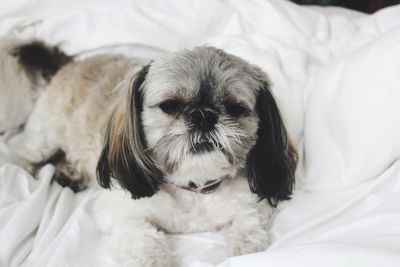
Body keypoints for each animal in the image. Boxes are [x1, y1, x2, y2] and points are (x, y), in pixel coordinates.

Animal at [2, 39, 296, 266]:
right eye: (170, 105)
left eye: (236, 108)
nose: (203, 115)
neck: (192, 187)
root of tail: (72, 64)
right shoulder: (119, 213)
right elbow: (144, 240)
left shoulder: (251, 204)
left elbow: (248, 226)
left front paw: (244, 250)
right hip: (44, 136)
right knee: (20, 153)